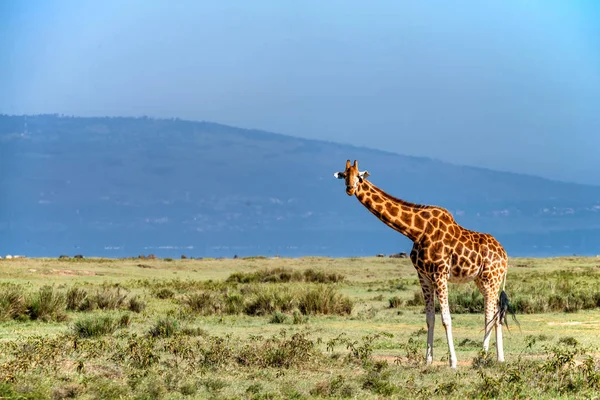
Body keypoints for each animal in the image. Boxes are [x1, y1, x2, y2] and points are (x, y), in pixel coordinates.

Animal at [332, 159, 510, 368]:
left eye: (359, 176)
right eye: (345, 175)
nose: (350, 189)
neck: (416, 231)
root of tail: (505, 255)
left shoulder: (440, 274)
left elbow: (446, 319)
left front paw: (453, 362)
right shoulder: (423, 276)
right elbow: (430, 318)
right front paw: (428, 360)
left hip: (491, 278)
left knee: (489, 315)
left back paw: (482, 357)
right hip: (482, 280)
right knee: (497, 314)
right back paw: (499, 358)